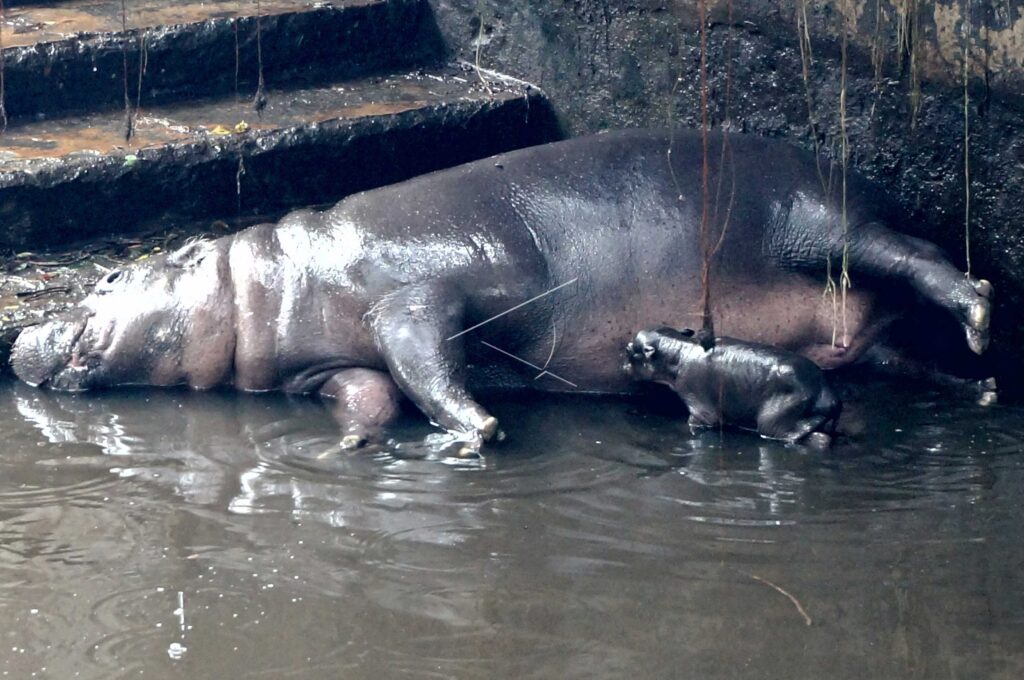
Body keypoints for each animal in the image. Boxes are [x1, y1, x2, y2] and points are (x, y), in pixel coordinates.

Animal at [624, 327, 842, 445]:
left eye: (629, 349)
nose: (623, 365)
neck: (678, 351)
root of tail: (828, 395)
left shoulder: (701, 410)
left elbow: (695, 423)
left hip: (773, 422)